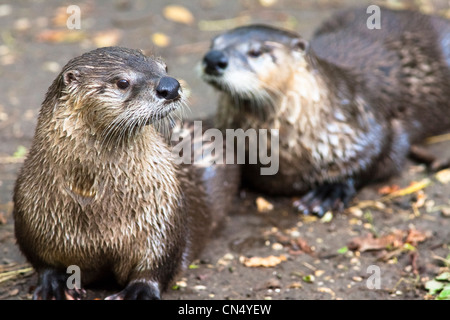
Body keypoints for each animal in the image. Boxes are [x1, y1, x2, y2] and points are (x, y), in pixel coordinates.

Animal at [13, 46, 239, 298]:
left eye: (164, 67)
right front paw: (54, 284)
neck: (93, 202)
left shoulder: (164, 213)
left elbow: (159, 263)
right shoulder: (31, 216)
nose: (170, 86)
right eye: (122, 82)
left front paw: (139, 290)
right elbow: (43, 261)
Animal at [201, 8, 450, 218]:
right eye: (213, 44)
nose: (213, 59)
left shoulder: (372, 126)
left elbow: (382, 155)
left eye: (256, 51)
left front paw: (329, 191)